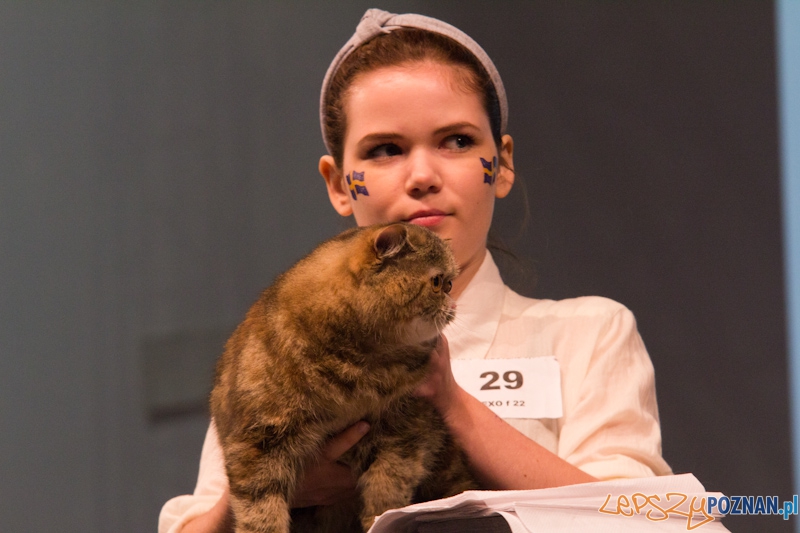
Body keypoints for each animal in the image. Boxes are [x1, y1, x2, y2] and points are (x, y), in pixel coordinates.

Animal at [209, 222, 478, 532]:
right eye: (437, 283)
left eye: (450, 284)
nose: (453, 305)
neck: (353, 368)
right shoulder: (257, 444)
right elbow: (261, 512)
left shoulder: (406, 428)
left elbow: (388, 485)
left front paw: (379, 519)